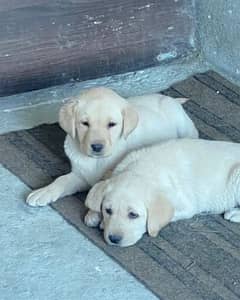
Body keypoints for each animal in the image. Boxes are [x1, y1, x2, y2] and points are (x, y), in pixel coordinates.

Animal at [26, 86, 199, 218]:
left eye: (111, 124)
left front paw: (94, 215)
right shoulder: (80, 175)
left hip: (184, 126)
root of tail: (170, 99)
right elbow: (61, 180)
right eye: (85, 123)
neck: (95, 161)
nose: (97, 146)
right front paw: (43, 192)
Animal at [85, 138, 240, 246]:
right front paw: (93, 214)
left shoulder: (187, 206)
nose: (114, 239)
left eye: (133, 215)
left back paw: (234, 213)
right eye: (108, 210)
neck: (142, 171)